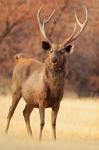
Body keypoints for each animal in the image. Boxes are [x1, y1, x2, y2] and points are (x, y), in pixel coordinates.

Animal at [5, 6, 87, 140]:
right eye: (51, 50)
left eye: (62, 52)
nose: (53, 59)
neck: (53, 88)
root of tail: (19, 59)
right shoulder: (41, 99)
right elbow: (42, 122)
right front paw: (40, 139)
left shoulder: (58, 102)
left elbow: (53, 123)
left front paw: (53, 140)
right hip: (16, 89)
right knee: (11, 111)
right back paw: (6, 132)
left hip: (30, 99)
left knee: (25, 112)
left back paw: (30, 136)